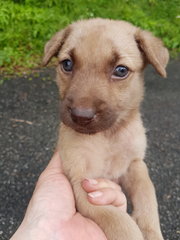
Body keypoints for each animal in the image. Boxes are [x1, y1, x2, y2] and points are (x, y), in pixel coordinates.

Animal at [42, 18, 169, 240]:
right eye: (67, 64)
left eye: (121, 70)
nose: (81, 116)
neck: (109, 136)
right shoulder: (82, 182)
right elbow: (118, 220)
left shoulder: (135, 164)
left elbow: (147, 195)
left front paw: (151, 231)